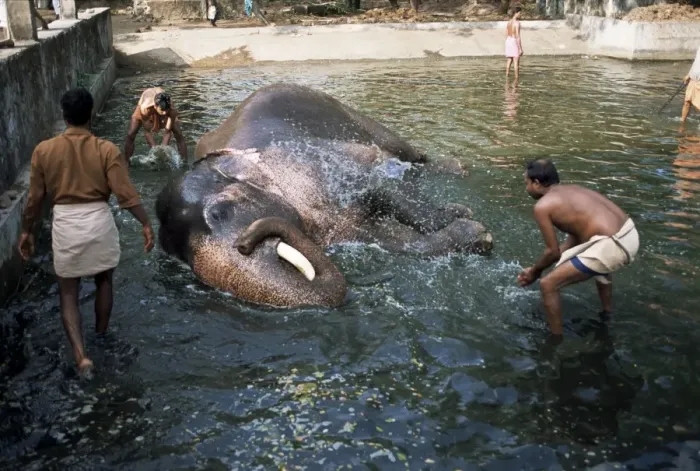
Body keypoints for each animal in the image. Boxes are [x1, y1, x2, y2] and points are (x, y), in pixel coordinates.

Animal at [155, 83, 493, 308]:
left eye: (221, 212)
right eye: (179, 258)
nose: (244, 243)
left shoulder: (321, 165)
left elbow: (383, 185)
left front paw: (463, 216)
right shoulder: (346, 228)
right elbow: (391, 240)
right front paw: (474, 232)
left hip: (348, 112)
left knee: (407, 153)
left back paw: (458, 169)